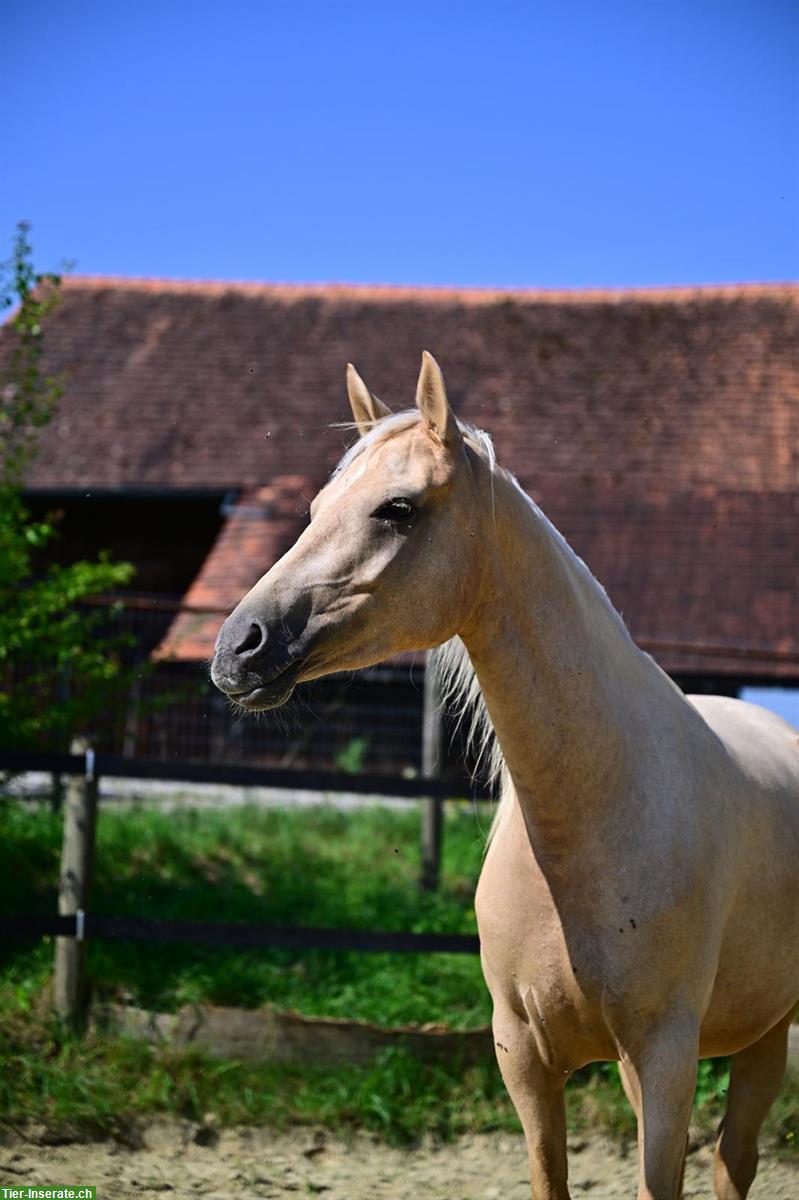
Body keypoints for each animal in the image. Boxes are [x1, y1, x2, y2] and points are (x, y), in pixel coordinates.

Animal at [213, 352, 796, 1200]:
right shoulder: (523, 1057)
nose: (238, 648)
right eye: (318, 506)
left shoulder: (661, 1059)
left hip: (762, 1036)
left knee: (734, 1162)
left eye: (397, 508)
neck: (595, 816)